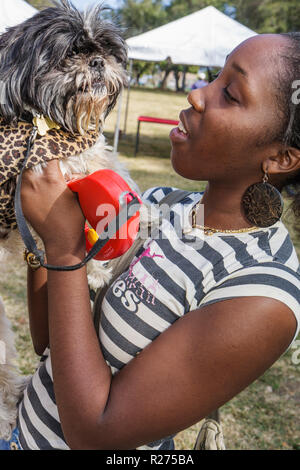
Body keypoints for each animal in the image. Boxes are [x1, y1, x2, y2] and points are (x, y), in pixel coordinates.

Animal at [0, 0, 152, 440]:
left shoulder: (85, 153)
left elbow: (108, 167)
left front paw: (143, 213)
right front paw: (96, 268)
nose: (98, 62)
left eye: (104, 50)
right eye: (71, 54)